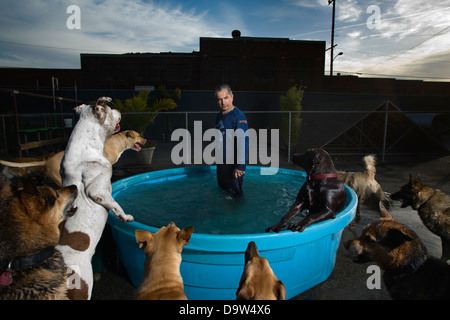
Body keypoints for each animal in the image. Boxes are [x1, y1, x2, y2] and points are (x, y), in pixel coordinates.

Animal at [57, 97, 134, 300]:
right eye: (109, 108)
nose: (119, 110)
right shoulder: (97, 190)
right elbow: (115, 204)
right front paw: (125, 216)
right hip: (83, 286)